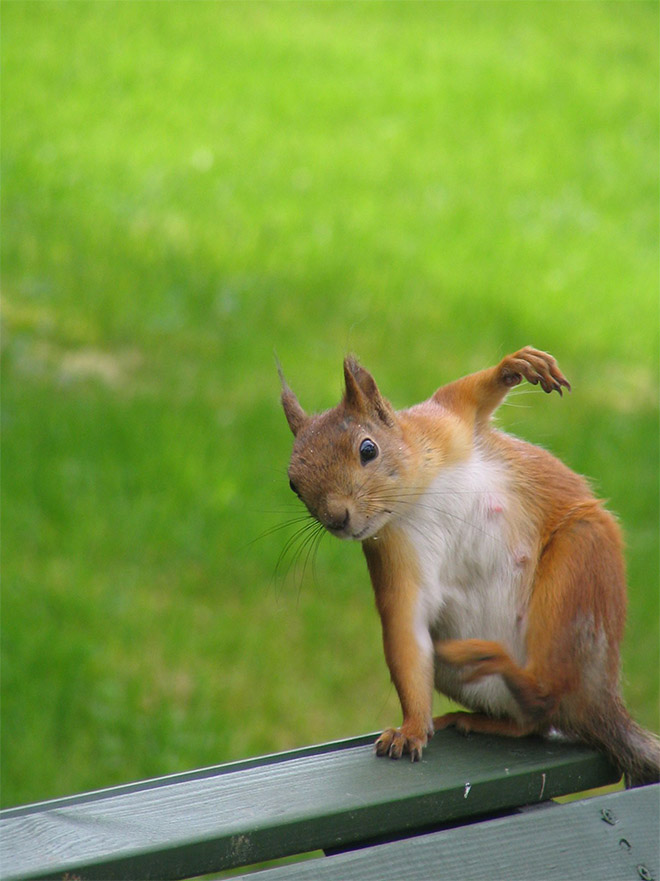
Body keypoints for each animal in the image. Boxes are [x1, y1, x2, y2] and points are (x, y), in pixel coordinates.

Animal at [280, 348, 660, 788]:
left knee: (548, 692)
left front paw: (517, 365)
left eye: (368, 449)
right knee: (535, 719)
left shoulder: (447, 419)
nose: (337, 519)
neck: (417, 495)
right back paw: (478, 714)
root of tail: (600, 701)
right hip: (454, 667)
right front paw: (411, 729)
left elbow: (471, 392)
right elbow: (405, 634)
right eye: (293, 484)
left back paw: (499, 665)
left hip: (577, 571)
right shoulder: (394, 556)